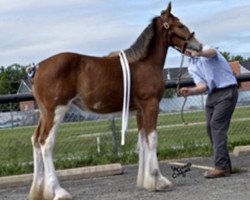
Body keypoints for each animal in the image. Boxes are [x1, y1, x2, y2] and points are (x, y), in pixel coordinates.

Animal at [28, 2, 201, 199]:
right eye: (180, 25)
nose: (198, 45)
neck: (144, 64)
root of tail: (37, 68)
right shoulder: (151, 105)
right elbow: (152, 139)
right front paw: (159, 180)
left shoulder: (140, 111)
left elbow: (143, 141)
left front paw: (145, 182)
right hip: (56, 111)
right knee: (46, 143)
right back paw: (58, 191)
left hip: (44, 113)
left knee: (35, 140)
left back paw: (38, 190)